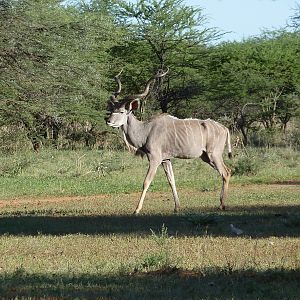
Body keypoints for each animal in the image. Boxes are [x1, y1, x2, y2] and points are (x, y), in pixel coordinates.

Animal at [106, 69, 232, 214]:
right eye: (112, 110)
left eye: (121, 111)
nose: (108, 121)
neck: (145, 130)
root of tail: (224, 128)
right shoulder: (166, 160)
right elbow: (171, 180)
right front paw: (177, 207)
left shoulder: (155, 158)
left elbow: (146, 182)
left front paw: (136, 210)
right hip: (206, 157)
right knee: (227, 171)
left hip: (214, 155)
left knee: (225, 172)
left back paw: (222, 205)